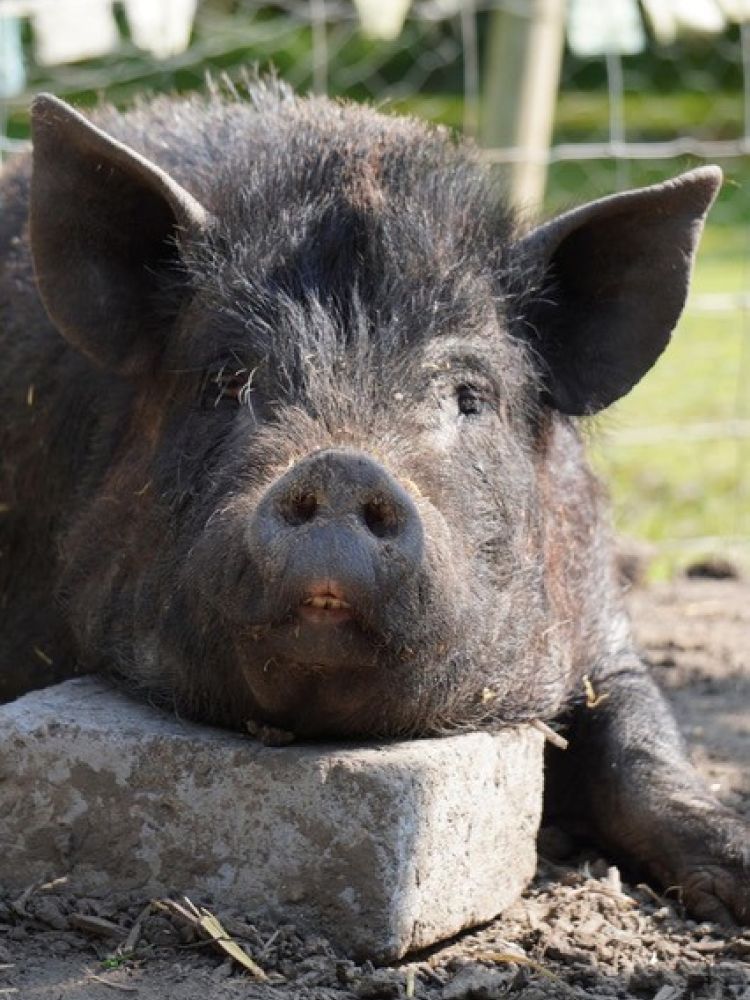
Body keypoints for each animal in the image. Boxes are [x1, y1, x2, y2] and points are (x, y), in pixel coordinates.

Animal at [0, 82, 747, 924]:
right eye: (226, 380)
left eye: (469, 396)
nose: (343, 467)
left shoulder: (597, 617)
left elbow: (636, 733)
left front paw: (739, 878)